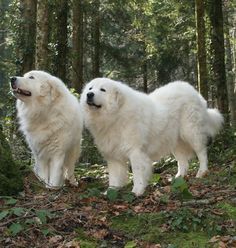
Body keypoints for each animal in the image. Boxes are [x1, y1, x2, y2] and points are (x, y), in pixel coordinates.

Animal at [81, 77, 223, 196]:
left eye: (102, 90)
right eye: (90, 88)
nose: (89, 95)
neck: (116, 114)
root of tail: (192, 90)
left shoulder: (136, 152)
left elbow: (137, 173)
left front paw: (137, 191)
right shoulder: (113, 156)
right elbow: (114, 177)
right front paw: (110, 191)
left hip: (191, 132)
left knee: (201, 152)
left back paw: (202, 172)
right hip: (175, 141)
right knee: (183, 161)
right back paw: (178, 177)